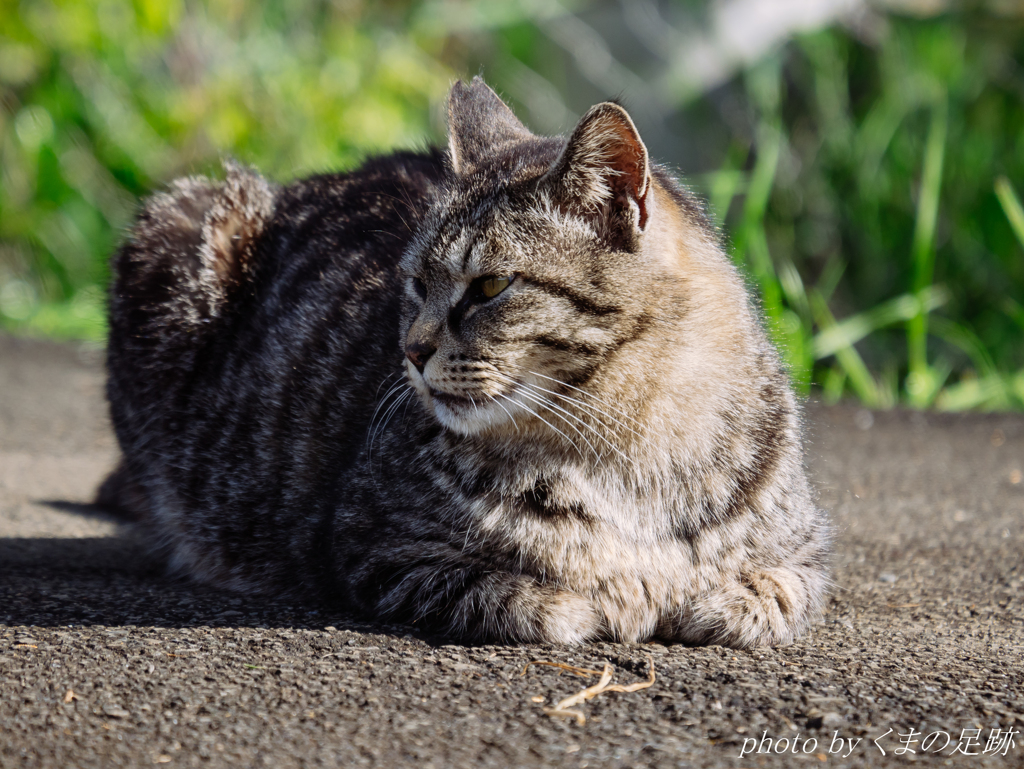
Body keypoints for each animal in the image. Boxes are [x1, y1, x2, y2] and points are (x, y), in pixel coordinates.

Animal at [103, 78, 827, 647]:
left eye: (490, 287)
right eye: (415, 284)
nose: (412, 350)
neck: (632, 450)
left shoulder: (808, 557)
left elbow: (773, 594)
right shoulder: (375, 545)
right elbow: (529, 600)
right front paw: (603, 599)